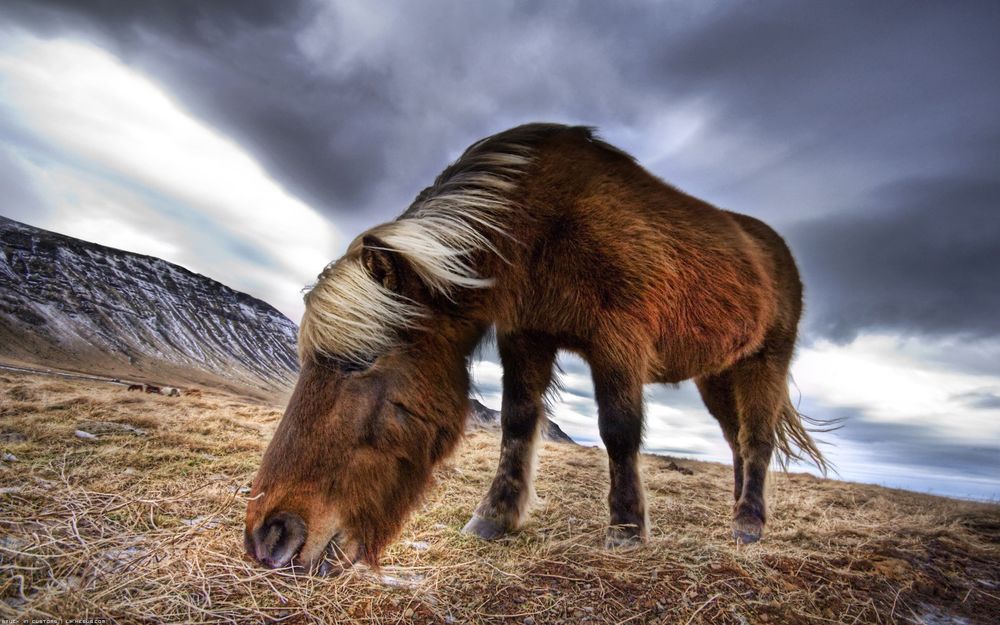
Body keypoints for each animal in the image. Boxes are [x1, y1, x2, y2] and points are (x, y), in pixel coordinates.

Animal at [245, 123, 827, 574]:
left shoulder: (618, 342)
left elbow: (618, 430)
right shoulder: (526, 336)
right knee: (736, 441)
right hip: (718, 375)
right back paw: (739, 513)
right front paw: (494, 518)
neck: (544, 225)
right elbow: (518, 422)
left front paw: (625, 528)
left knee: (755, 439)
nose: (268, 537)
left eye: (361, 365)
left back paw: (748, 525)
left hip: (764, 364)